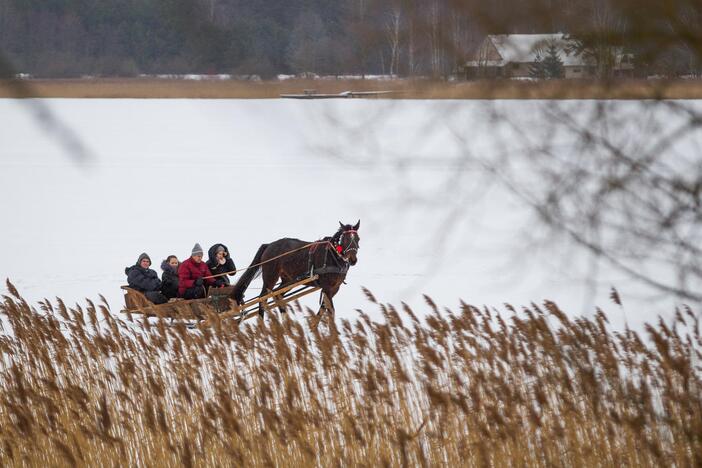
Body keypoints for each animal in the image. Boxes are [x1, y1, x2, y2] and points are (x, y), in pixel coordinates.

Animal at [232, 221, 364, 320]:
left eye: (358, 238)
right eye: (345, 239)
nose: (353, 260)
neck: (332, 254)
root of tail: (269, 245)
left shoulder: (334, 289)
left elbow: (323, 309)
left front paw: (314, 327)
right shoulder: (327, 287)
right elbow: (330, 310)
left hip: (288, 280)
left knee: (277, 296)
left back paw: (286, 324)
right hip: (270, 277)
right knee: (262, 299)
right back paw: (262, 325)